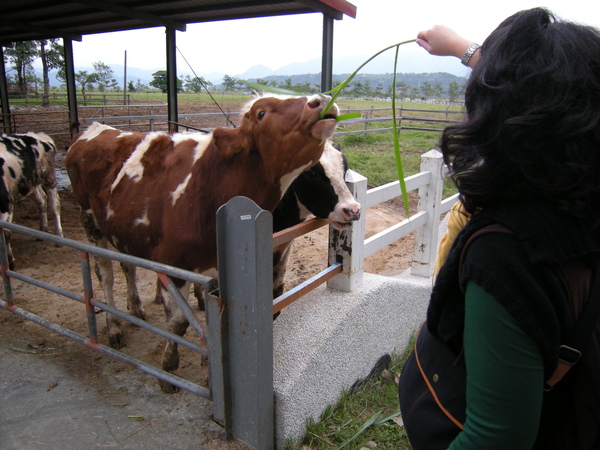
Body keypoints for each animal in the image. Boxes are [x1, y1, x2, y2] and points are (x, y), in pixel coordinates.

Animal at [0, 132, 62, 268]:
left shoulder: (6, 203)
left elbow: (6, 234)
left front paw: (10, 261)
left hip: (48, 176)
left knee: (55, 204)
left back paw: (59, 236)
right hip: (31, 183)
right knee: (42, 200)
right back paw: (42, 230)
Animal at [67, 93, 338, 392]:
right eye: (261, 113)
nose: (321, 100)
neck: (214, 191)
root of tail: (94, 129)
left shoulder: (220, 271)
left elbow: (214, 323)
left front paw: (211, 371)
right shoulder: (174, 265)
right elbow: (178, 323)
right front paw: (169, 368)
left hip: (124, 232)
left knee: (129, 267)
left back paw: (135, 308)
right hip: (90, 222)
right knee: (105, 275)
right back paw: (114, 325)